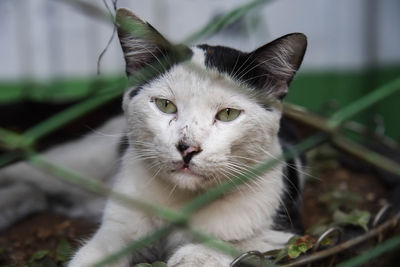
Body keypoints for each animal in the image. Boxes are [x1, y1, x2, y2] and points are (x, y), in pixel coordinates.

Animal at [67, 8, 308, 267]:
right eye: (165, 105)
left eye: (228, 113)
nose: (187, 147)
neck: (183, 201)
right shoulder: (119, 223)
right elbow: (100, 249)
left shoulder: (288, 232)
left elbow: (240, 241)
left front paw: (194, 256)